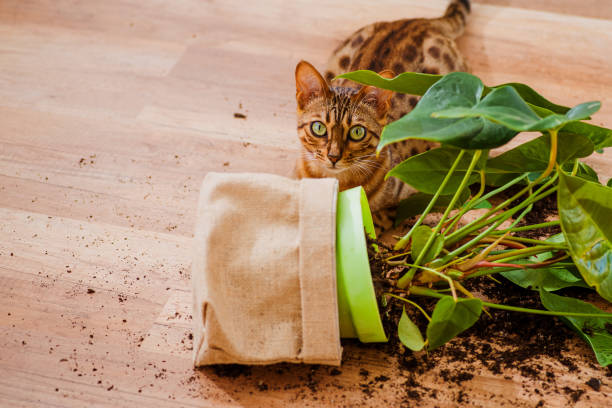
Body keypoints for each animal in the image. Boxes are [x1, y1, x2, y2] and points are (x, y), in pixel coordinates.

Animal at [294, 0, 470, 228]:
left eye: (357, 132)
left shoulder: (401, 197)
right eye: (318, 128)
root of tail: (417, 22)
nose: (333, 157)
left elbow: (371, 221)